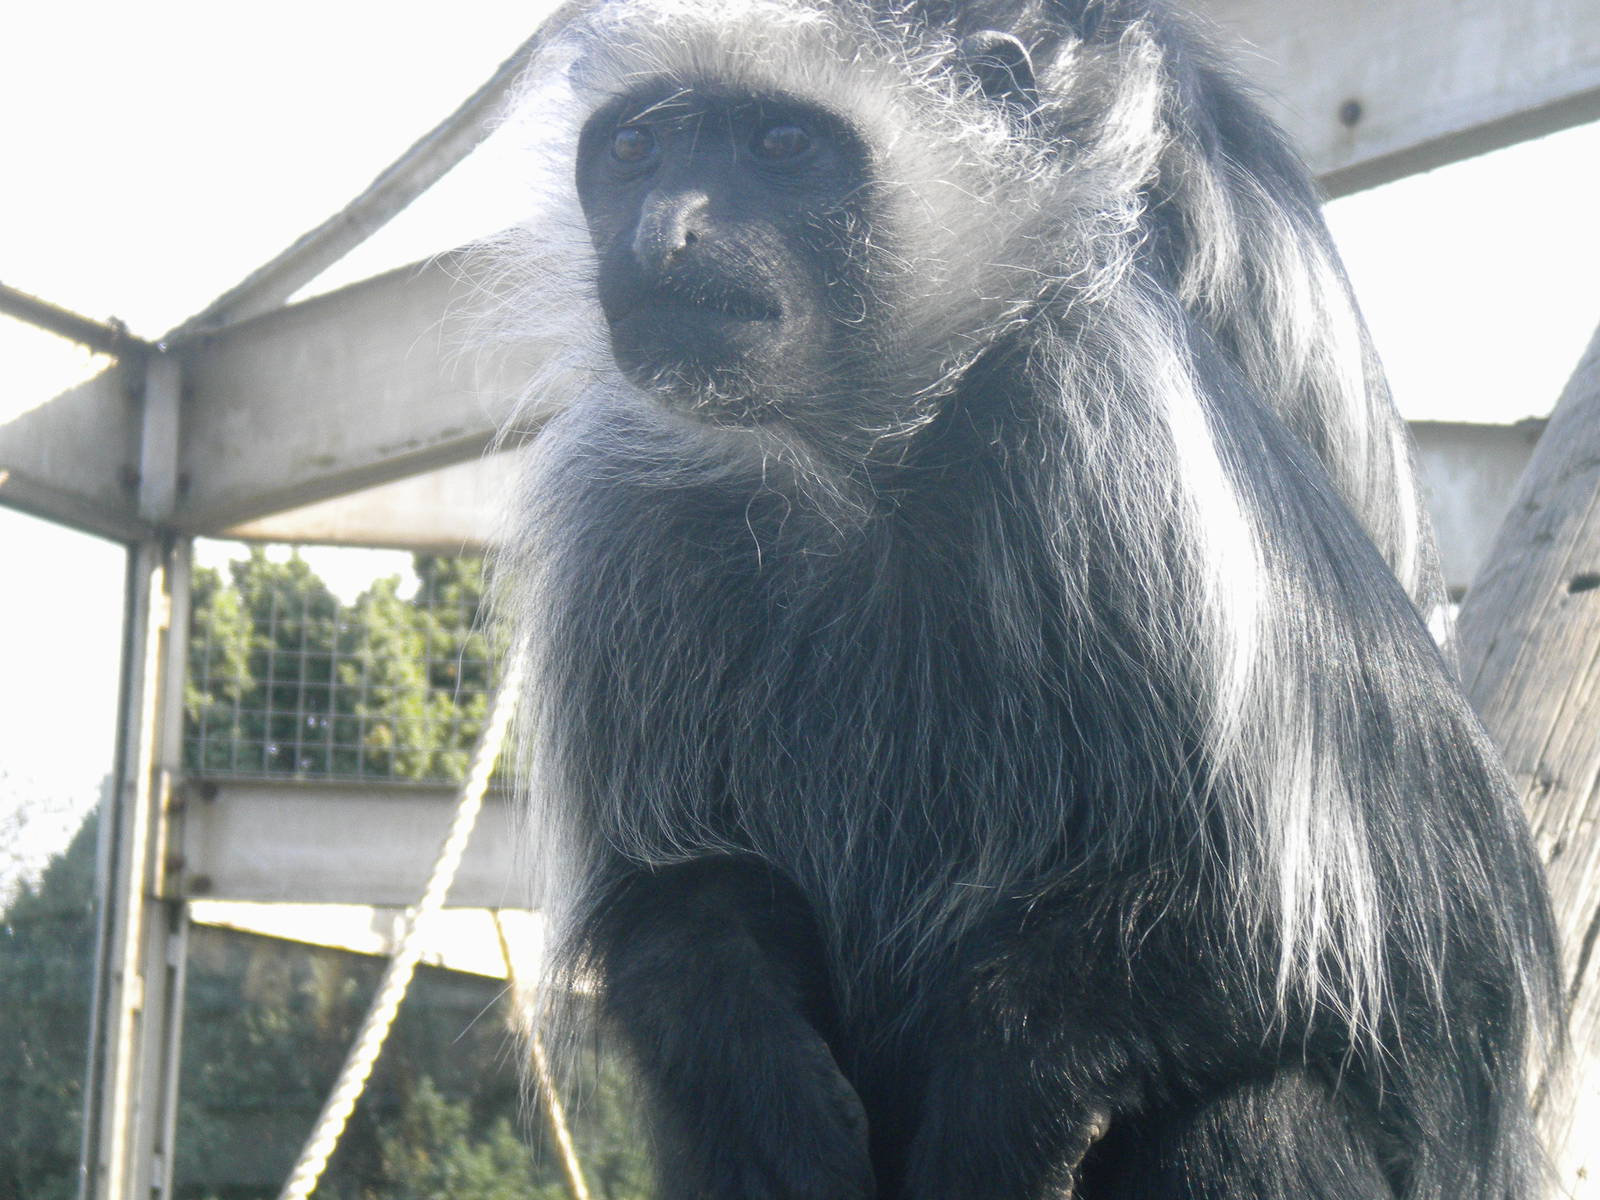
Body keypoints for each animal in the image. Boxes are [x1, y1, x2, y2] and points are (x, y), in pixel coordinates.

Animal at [490, 2, 1561, 1197]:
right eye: (633, 151)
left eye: (781, 144)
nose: (661, 236)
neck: (862, 461)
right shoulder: (619, 509)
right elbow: (676, 896)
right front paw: (776, 1097)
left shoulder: (1110, 407)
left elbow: (1317, 916)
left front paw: (998, 1122)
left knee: (1257, 1112)